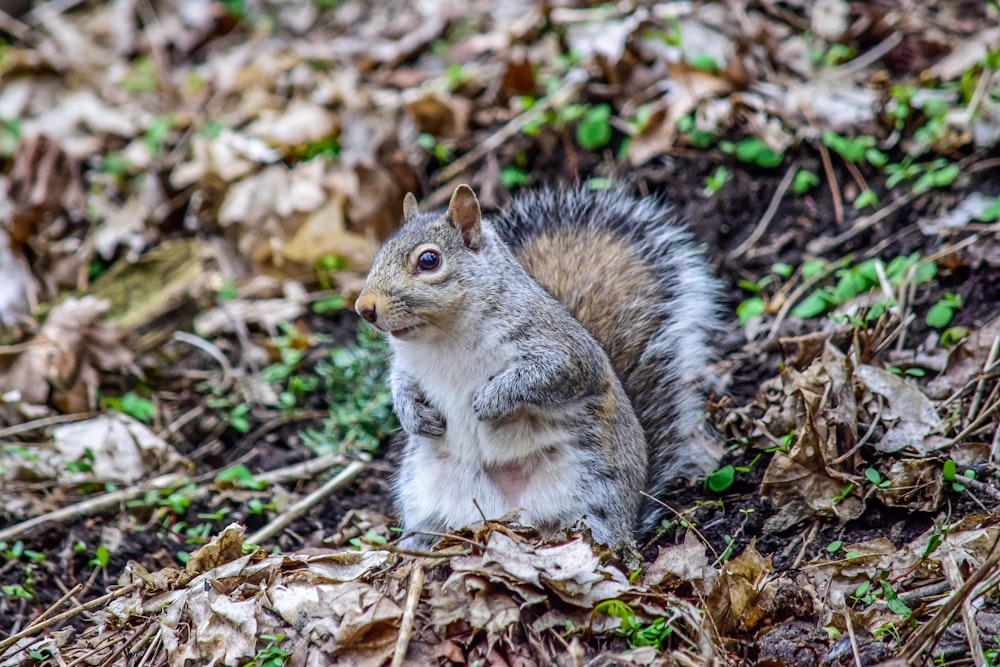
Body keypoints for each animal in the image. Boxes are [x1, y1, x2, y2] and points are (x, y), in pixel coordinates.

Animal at [356, 183, 724, 548]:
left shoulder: (563, 349)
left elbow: (543, 376)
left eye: (429, 260)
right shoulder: (407, 365)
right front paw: (413, 416)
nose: (364, 308)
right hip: (428, 502)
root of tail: (505, 517)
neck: (441, 338)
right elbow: (400, 384)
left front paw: (491, 400)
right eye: (378, 255)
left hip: (594, 495)